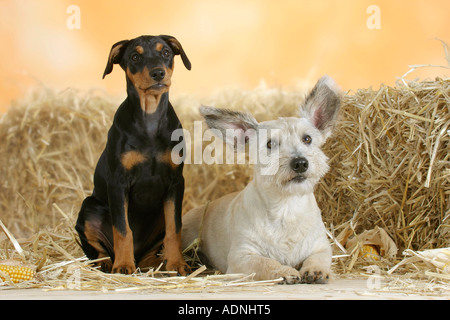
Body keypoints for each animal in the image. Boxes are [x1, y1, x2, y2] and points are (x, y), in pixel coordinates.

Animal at [75, 35, 190, 276]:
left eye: (166, 52)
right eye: (135, 57)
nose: (158, 73)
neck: (150, 118)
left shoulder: (176, 182)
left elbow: (174, 229)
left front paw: (177, 264)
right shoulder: (118, 183)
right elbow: (122, 229)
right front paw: (123, 265)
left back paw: (154, 264)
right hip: (89, 207)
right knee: (97, 249)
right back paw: (107, 262)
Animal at [181, 75, 340, 284]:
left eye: (307, 139)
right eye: (270, 144)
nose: (300, 163)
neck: (287, 208)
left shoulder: (321, 246)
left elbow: (318, 258)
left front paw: (316, 271)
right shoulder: (242, 257)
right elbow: (265, 262)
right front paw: (283, 271)